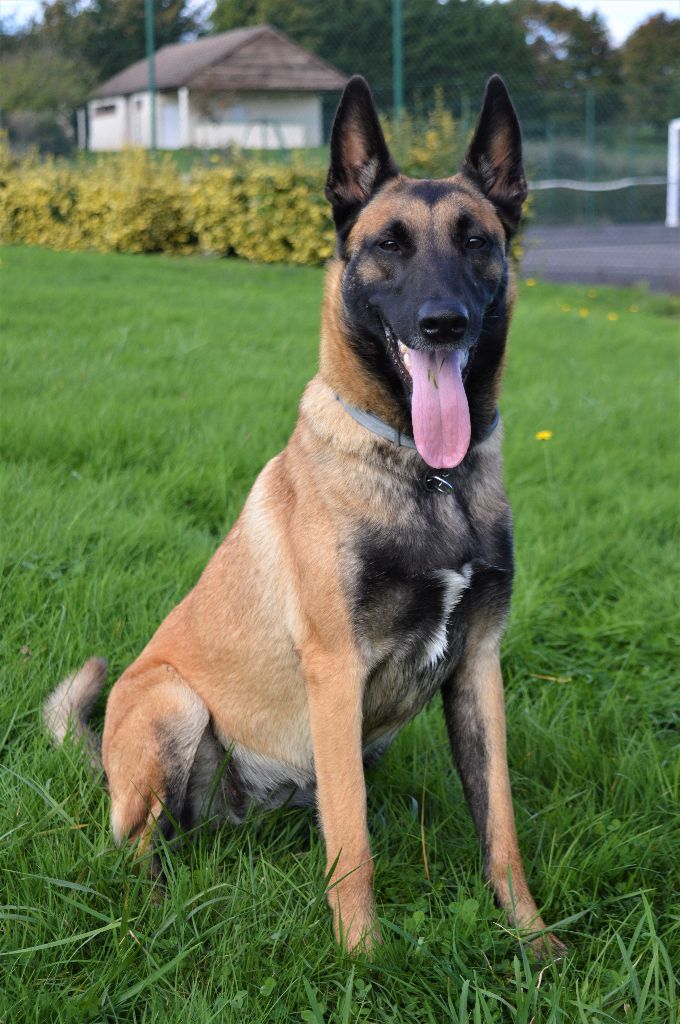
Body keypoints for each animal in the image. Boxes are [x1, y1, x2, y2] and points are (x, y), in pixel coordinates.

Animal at [46, 75, 561, 954]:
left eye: (476, 241)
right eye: (388, 244)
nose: (444, 322)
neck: (428, 476)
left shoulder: (478, 668)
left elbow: (501, 829)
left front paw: (532, 941)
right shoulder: (336, 671)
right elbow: (352, 845)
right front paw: (363, 957)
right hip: (174, 704)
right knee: (141, 843)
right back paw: (157, 915)